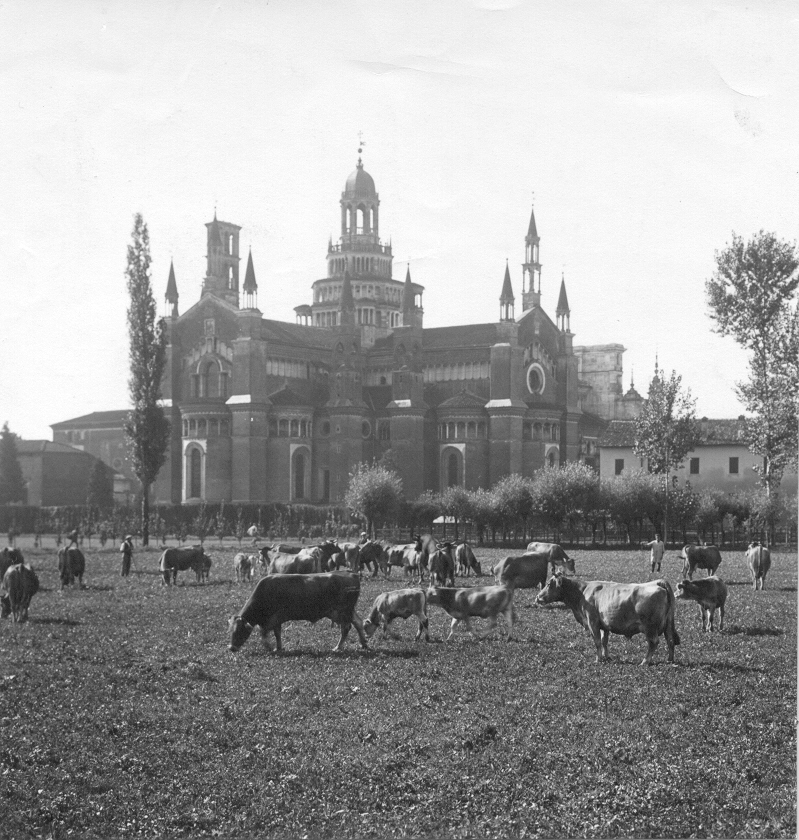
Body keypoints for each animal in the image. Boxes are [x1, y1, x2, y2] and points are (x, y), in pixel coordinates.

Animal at [228, 576, 368, 652]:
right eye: (231, 631)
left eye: (240, 631)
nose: (231, 648)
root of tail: (352, 574)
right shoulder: (276, 621)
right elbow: (277, 634)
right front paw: (278, 647)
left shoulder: (273, 619)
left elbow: (264, 633)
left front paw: (269, 646)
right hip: (348, 612)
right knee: (358, 623)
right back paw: (363, 643)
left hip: (343, 612)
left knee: (346, 628)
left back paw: (338, 647)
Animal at [536, 576, 680, 668]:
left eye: (548, 584)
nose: (537, 597)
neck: (582, 591)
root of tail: (657, 582)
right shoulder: (604, 625)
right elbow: (604, 641)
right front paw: (606, 657)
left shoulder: (592, 621)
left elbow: (597, 642)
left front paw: (598, 659)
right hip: (668, 625)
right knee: (670, 641)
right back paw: (670, 660)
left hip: (650, 627)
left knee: (654, 642)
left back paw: (645, 661)